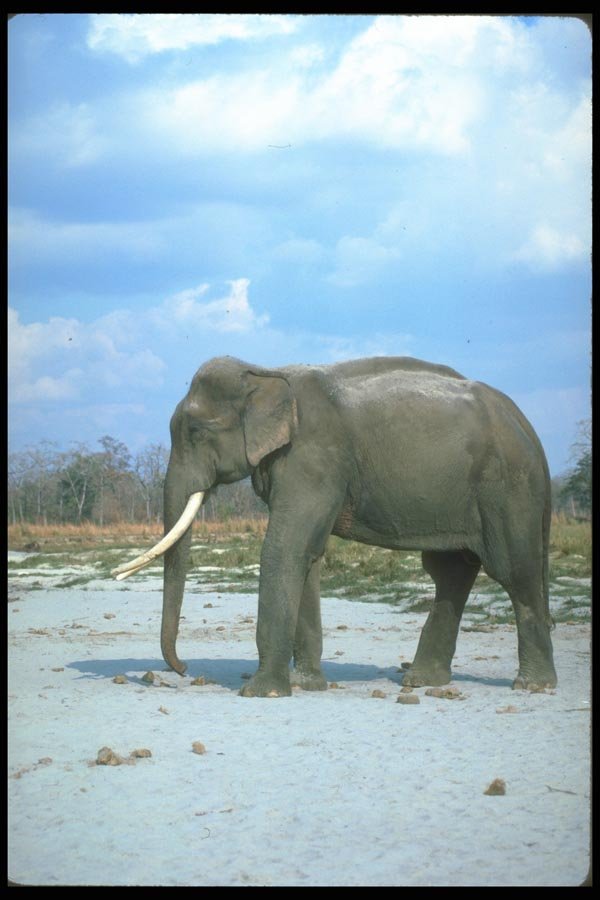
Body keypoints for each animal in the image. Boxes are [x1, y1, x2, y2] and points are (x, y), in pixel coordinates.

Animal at [112, 355, 557, 696]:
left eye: (195, 430)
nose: (183, 669)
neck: (266, 373)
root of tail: (529, 427)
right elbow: (306, 556)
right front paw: (307, 685)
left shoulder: (313, 459)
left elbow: (283, 549)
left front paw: (262, 692)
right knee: (450, 573)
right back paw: (421, 681)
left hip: (508, 488)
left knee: (514, 572)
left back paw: (532, 686)